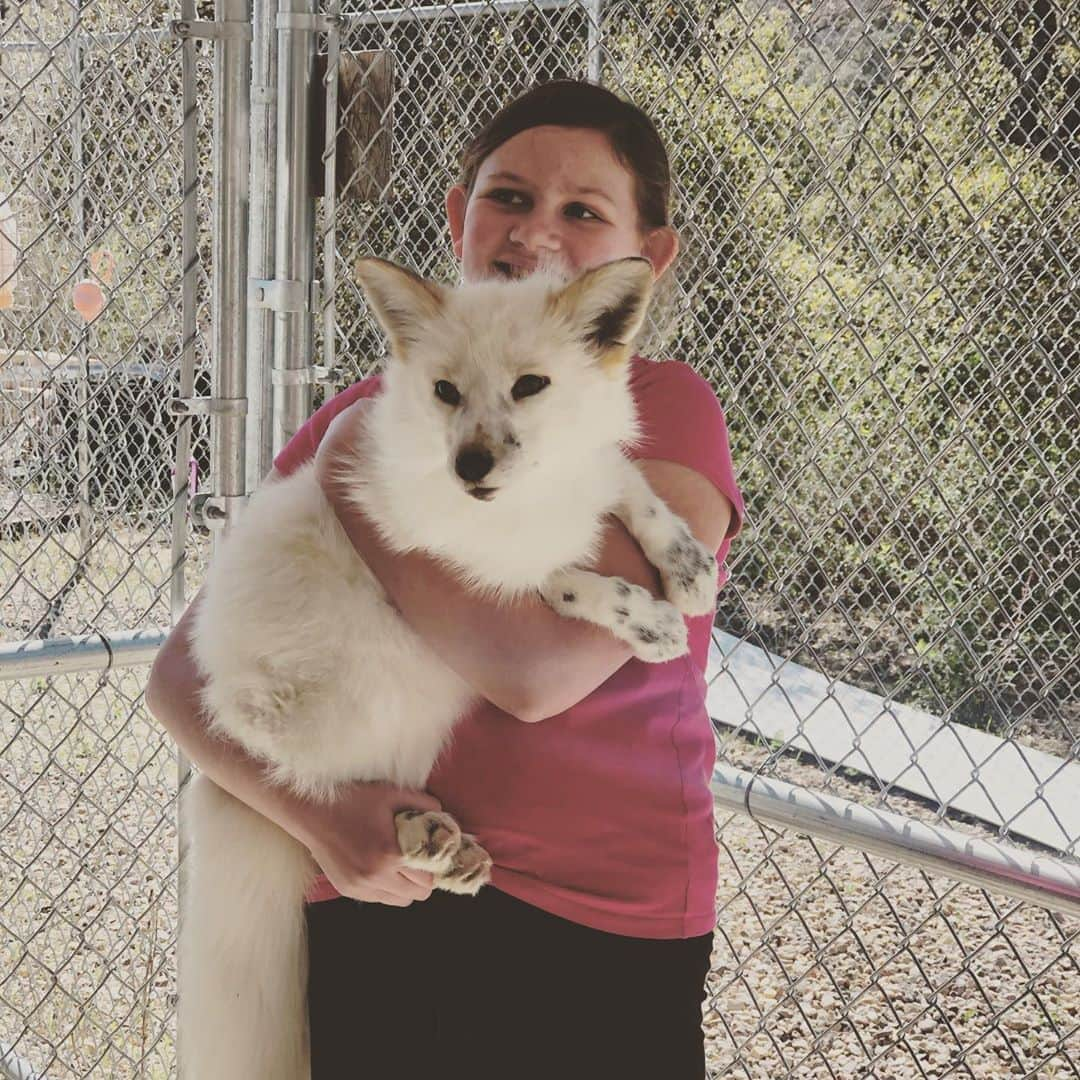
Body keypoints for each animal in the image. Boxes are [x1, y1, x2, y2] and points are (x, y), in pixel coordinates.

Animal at [177, 254, 721, 1080]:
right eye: (445, 392)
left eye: (530, 385)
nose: (471, 466)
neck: (533, 499)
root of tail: (225, 711)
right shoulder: (472, 563)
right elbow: (564, 579)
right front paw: (645, 618)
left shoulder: (588, 478)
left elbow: (628, 482)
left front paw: (685, 562)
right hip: (355, 691)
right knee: (321, 788)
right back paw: (417, 839)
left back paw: (446, 848)